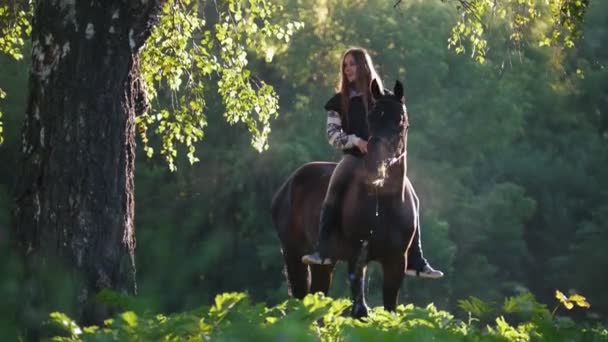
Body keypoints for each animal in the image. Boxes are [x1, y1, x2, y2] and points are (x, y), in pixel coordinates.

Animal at [270, 79, 418, 316]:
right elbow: (361, 311)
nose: (374, 166)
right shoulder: (357, 257)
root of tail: (287, 186)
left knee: (317, 297)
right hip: (294, 255)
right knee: (301, 299)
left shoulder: (396, 262)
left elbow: (390, 311)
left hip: (324, 264)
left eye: (400, 121)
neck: (383, 204)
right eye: (371, 118)